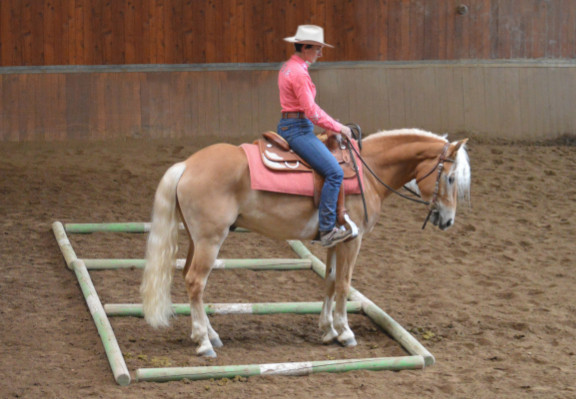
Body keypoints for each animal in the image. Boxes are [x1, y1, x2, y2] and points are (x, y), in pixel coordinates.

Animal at [142, 127, 470, 356]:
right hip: (210, 240)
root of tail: (187, 165)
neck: (369, 172)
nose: (448, 220)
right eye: (451, 178)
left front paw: (328, 330)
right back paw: (204, 342)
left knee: (188, 278)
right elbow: (344, 285)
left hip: (196, 239)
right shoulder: (353, 241)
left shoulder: (336, 240)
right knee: (196, 282)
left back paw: (210, 335)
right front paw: (345, 332)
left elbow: (330, 281)